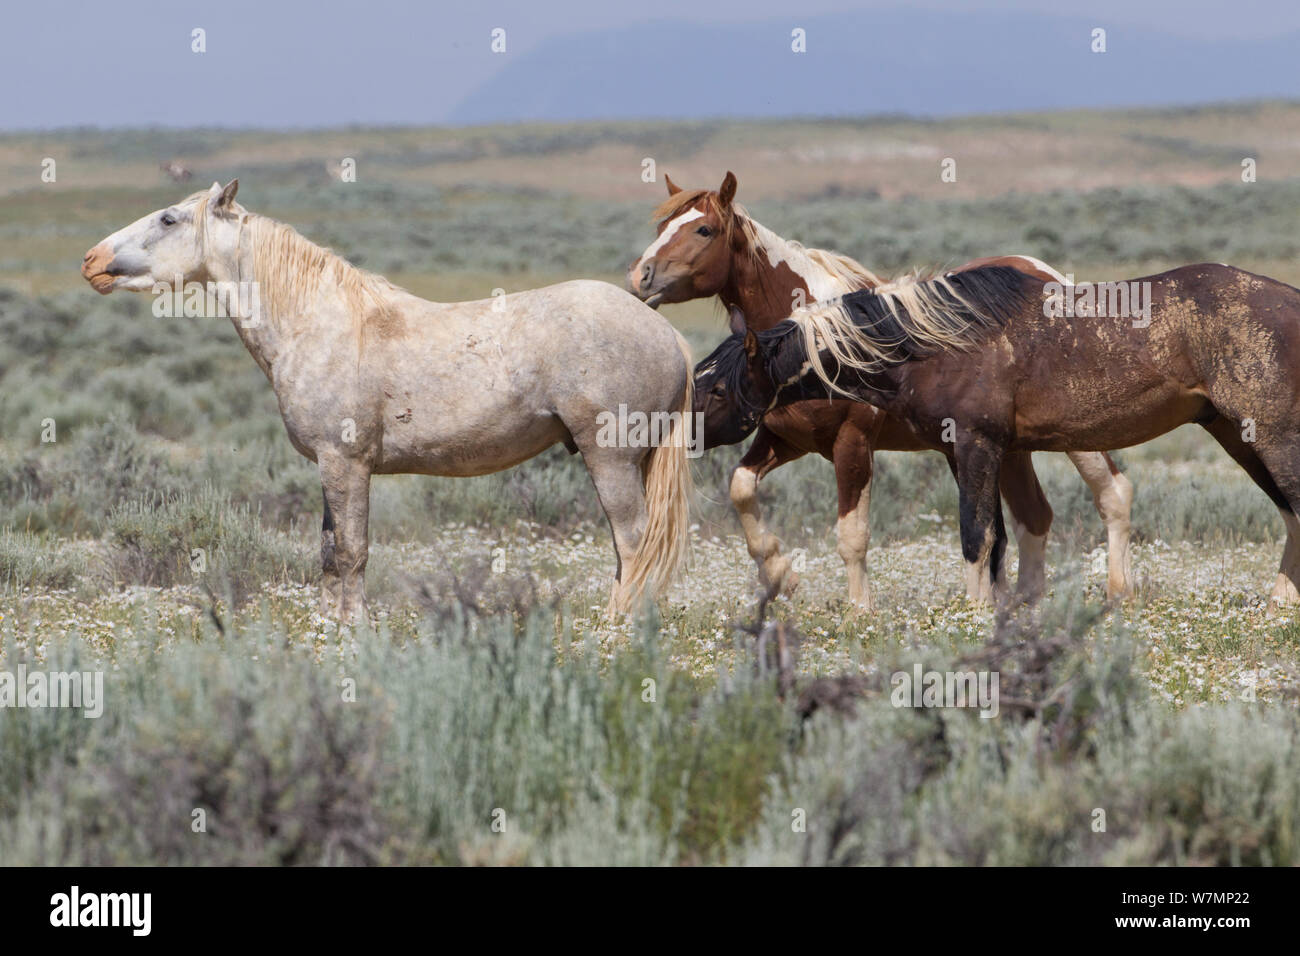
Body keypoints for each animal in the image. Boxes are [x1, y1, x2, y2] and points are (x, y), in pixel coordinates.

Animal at [81, 180, 694, 620]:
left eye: (168, 219)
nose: (91, 260)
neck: (316, 323)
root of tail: (667, 333)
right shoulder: (331, 469)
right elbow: (330, 554)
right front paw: (329, 629)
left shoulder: (345, 464)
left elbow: (352, 553)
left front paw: (353, 632)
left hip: (610, 460)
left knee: (634, 543)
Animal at [627, 171, 1133, 608]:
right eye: (662, 226)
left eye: (705, 230)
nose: (640, 277)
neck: (815, 338)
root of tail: (1047, 275)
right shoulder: (784, 440)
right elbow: (740, 488)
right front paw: (780, 573)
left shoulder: (852, 445)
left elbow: (852, 535)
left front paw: (860, 610)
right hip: (1005, 448)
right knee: (1034, 516)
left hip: (1071, 432)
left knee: (1112, 492)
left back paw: (1117, 591)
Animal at [695, 262, 1300, 609]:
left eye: (720, 389)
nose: (685, 435)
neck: (929, 345)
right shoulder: (967, 452)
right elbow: (997, 538)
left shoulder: (975, 444)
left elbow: (976, 536)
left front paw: (974, 612)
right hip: (1238, 436)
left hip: (1268, 436)